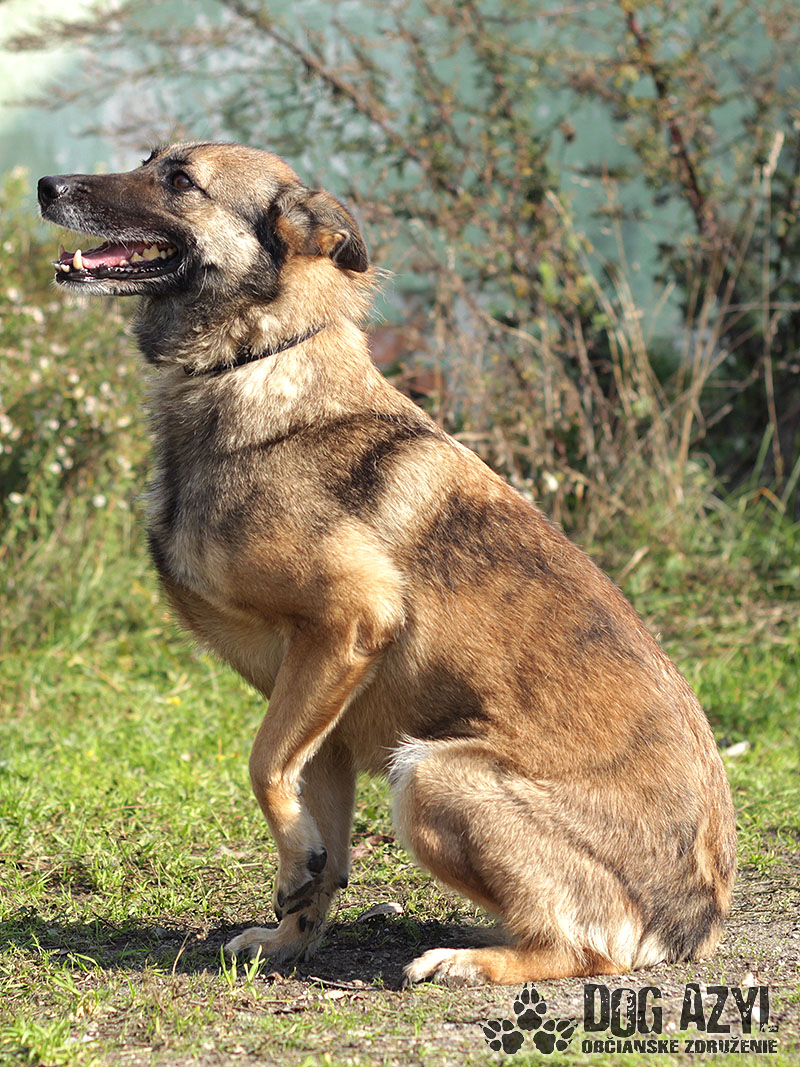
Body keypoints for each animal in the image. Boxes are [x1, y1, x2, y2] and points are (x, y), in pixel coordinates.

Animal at [38, 142, 736, 987]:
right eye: (148, 160)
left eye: (180, 179)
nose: (45, 185)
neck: (254, 361)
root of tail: (696, 921)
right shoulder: (320, 709)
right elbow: (314, 826)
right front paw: (292, 927)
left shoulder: (349, 620)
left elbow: (261, 765)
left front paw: (295, 869)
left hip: (431, 774)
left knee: (583, 948)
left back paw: (466, 960)